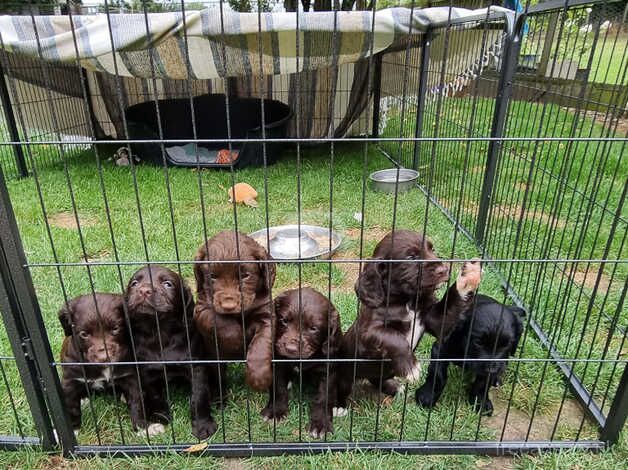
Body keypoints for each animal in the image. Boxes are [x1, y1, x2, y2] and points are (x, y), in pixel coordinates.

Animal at [57, 294, 144, 434]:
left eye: (115, 329)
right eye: (84, 334)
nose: (105, 357)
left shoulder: (131, 375)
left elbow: (137, 401)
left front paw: (144, 428)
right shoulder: (70, 380)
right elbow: (71, 408)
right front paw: (73, 430)